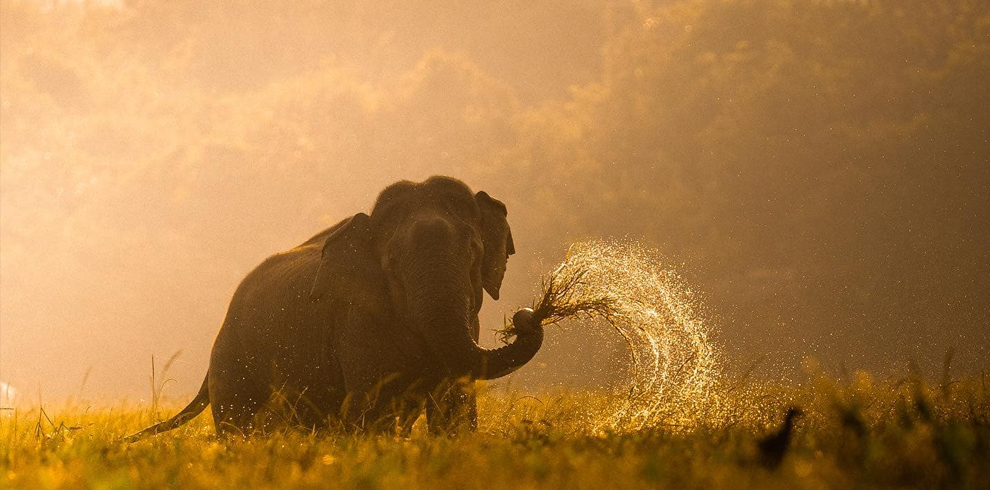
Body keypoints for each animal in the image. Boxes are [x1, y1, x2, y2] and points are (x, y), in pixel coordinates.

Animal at [128, 176, 548, 440]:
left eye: (474, 251)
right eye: (392, 262)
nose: (525, 316)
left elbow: (455, 409)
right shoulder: (357, 322)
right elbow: (372, 410)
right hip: (233, 361)